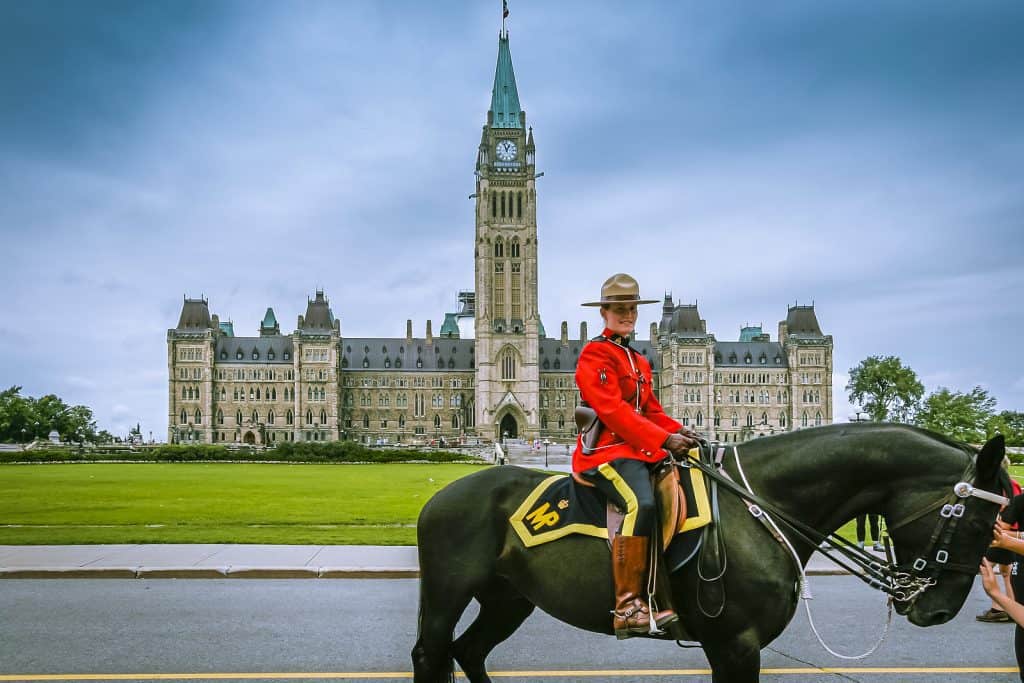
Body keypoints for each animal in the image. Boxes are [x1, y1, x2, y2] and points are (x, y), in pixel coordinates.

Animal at [411, 423, 1003, 679]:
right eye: (978, 521)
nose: (939, 611)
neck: (762, 502)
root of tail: (443, 492)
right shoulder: (735, 643)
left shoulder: (734, 646)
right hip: (446, 590)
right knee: (429, 653)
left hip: (510, 597)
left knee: (468, 652)